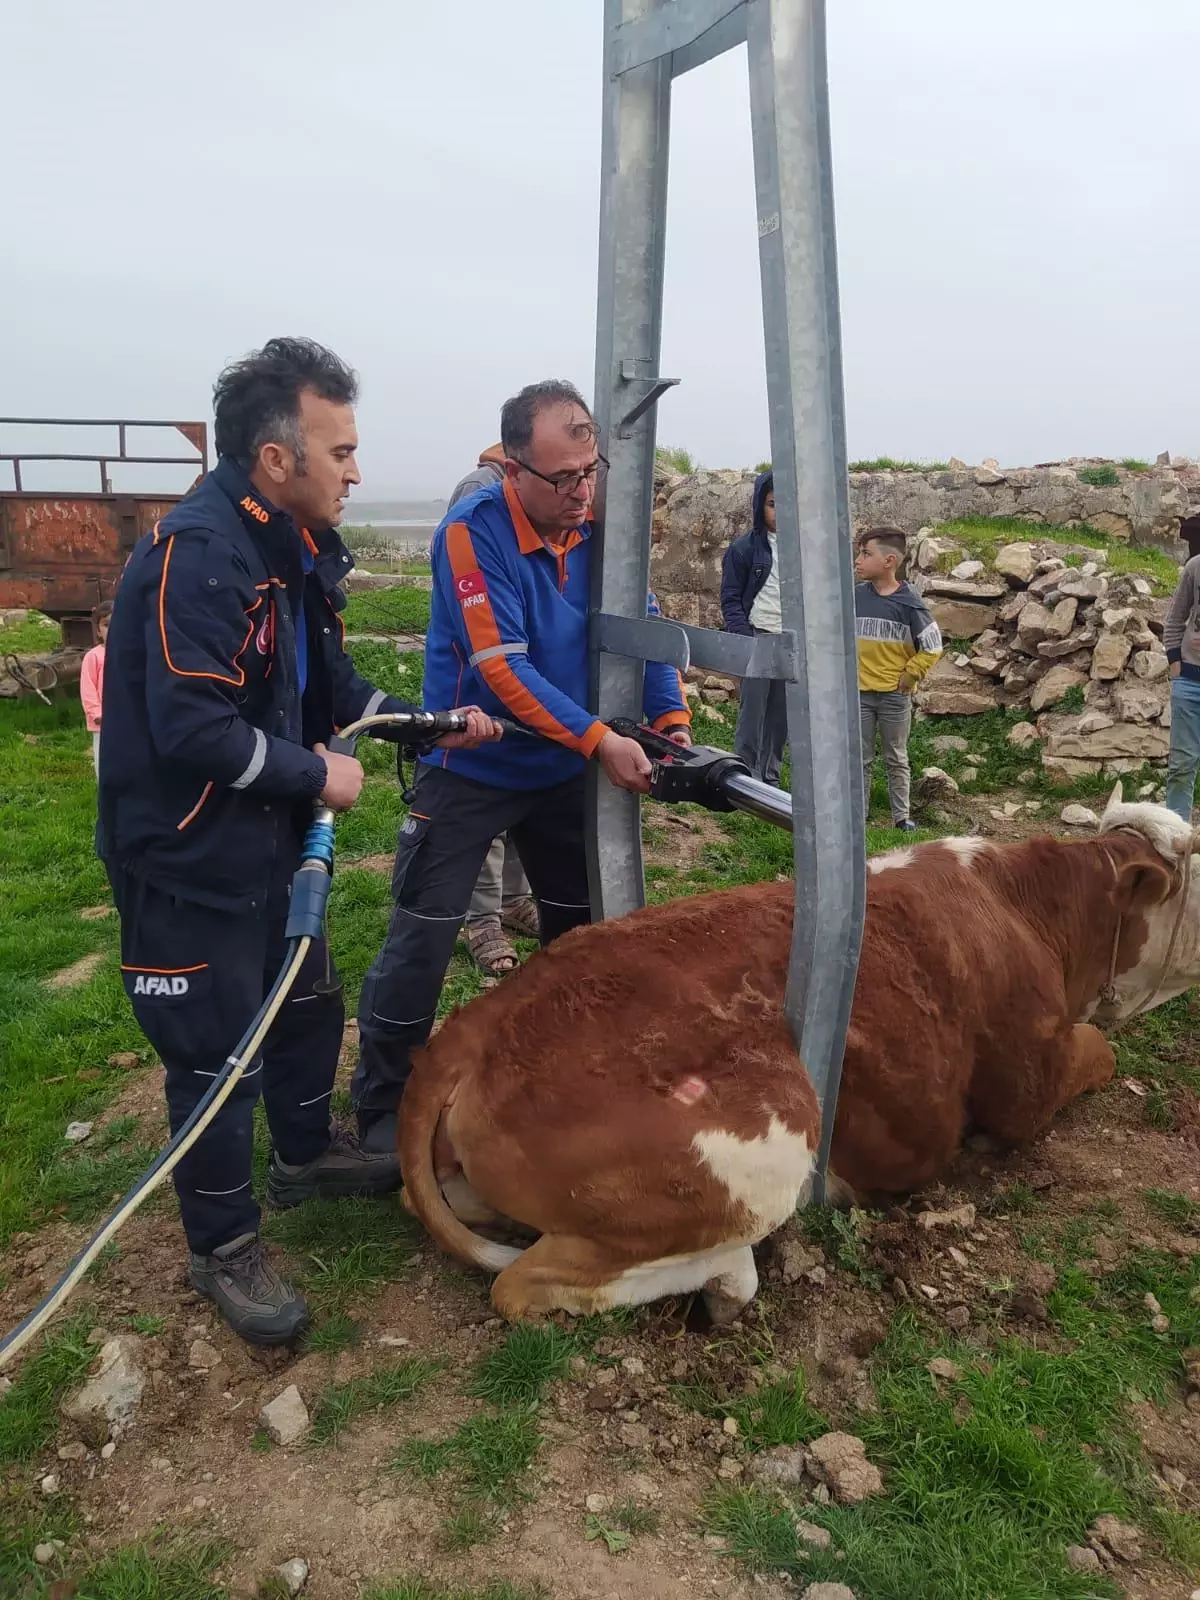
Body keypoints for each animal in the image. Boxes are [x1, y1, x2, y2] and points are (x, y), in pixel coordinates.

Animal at [400, 787, 1196, 1324]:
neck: (1028, 907)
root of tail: (482, 1020)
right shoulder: (1030, 1085)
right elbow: (1101, 1054)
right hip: (773, 1133)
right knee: (524, 1285)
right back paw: (726, 1277)